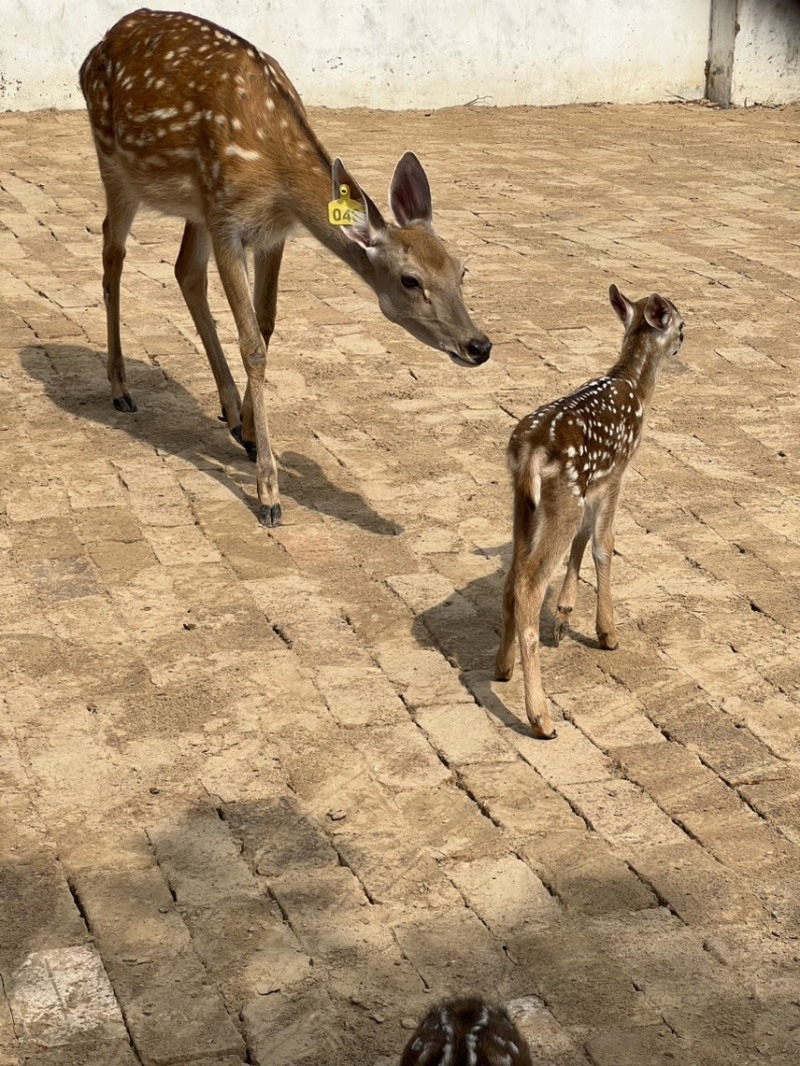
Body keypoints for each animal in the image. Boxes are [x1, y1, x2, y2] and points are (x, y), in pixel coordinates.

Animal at [79, 9, 491, 528]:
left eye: (461, 269)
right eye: (410, 279)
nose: (479, 346)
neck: (275, 170)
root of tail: (96, 47)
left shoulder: (270, 231)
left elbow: (267, 324)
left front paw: (253, 437)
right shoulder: (227, 220)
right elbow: (252, 345)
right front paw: (269, 494)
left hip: (194, 205)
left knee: (184, 271)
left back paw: (232, 415)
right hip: (115, 164)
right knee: (111, 254)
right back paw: (120, 388)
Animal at [494, 285, 684, 739]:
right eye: (681, 324)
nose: (684, 340)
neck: (634, 384)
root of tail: (530, 450)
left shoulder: (591, 486)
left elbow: (584, 538)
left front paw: (564, 617)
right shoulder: (617, 471)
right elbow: (604, 543)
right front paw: (607, 632)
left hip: (526, 505)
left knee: (512, 576)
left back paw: (503, 667)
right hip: (562, 497)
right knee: (528, 585)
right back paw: (540, 718)